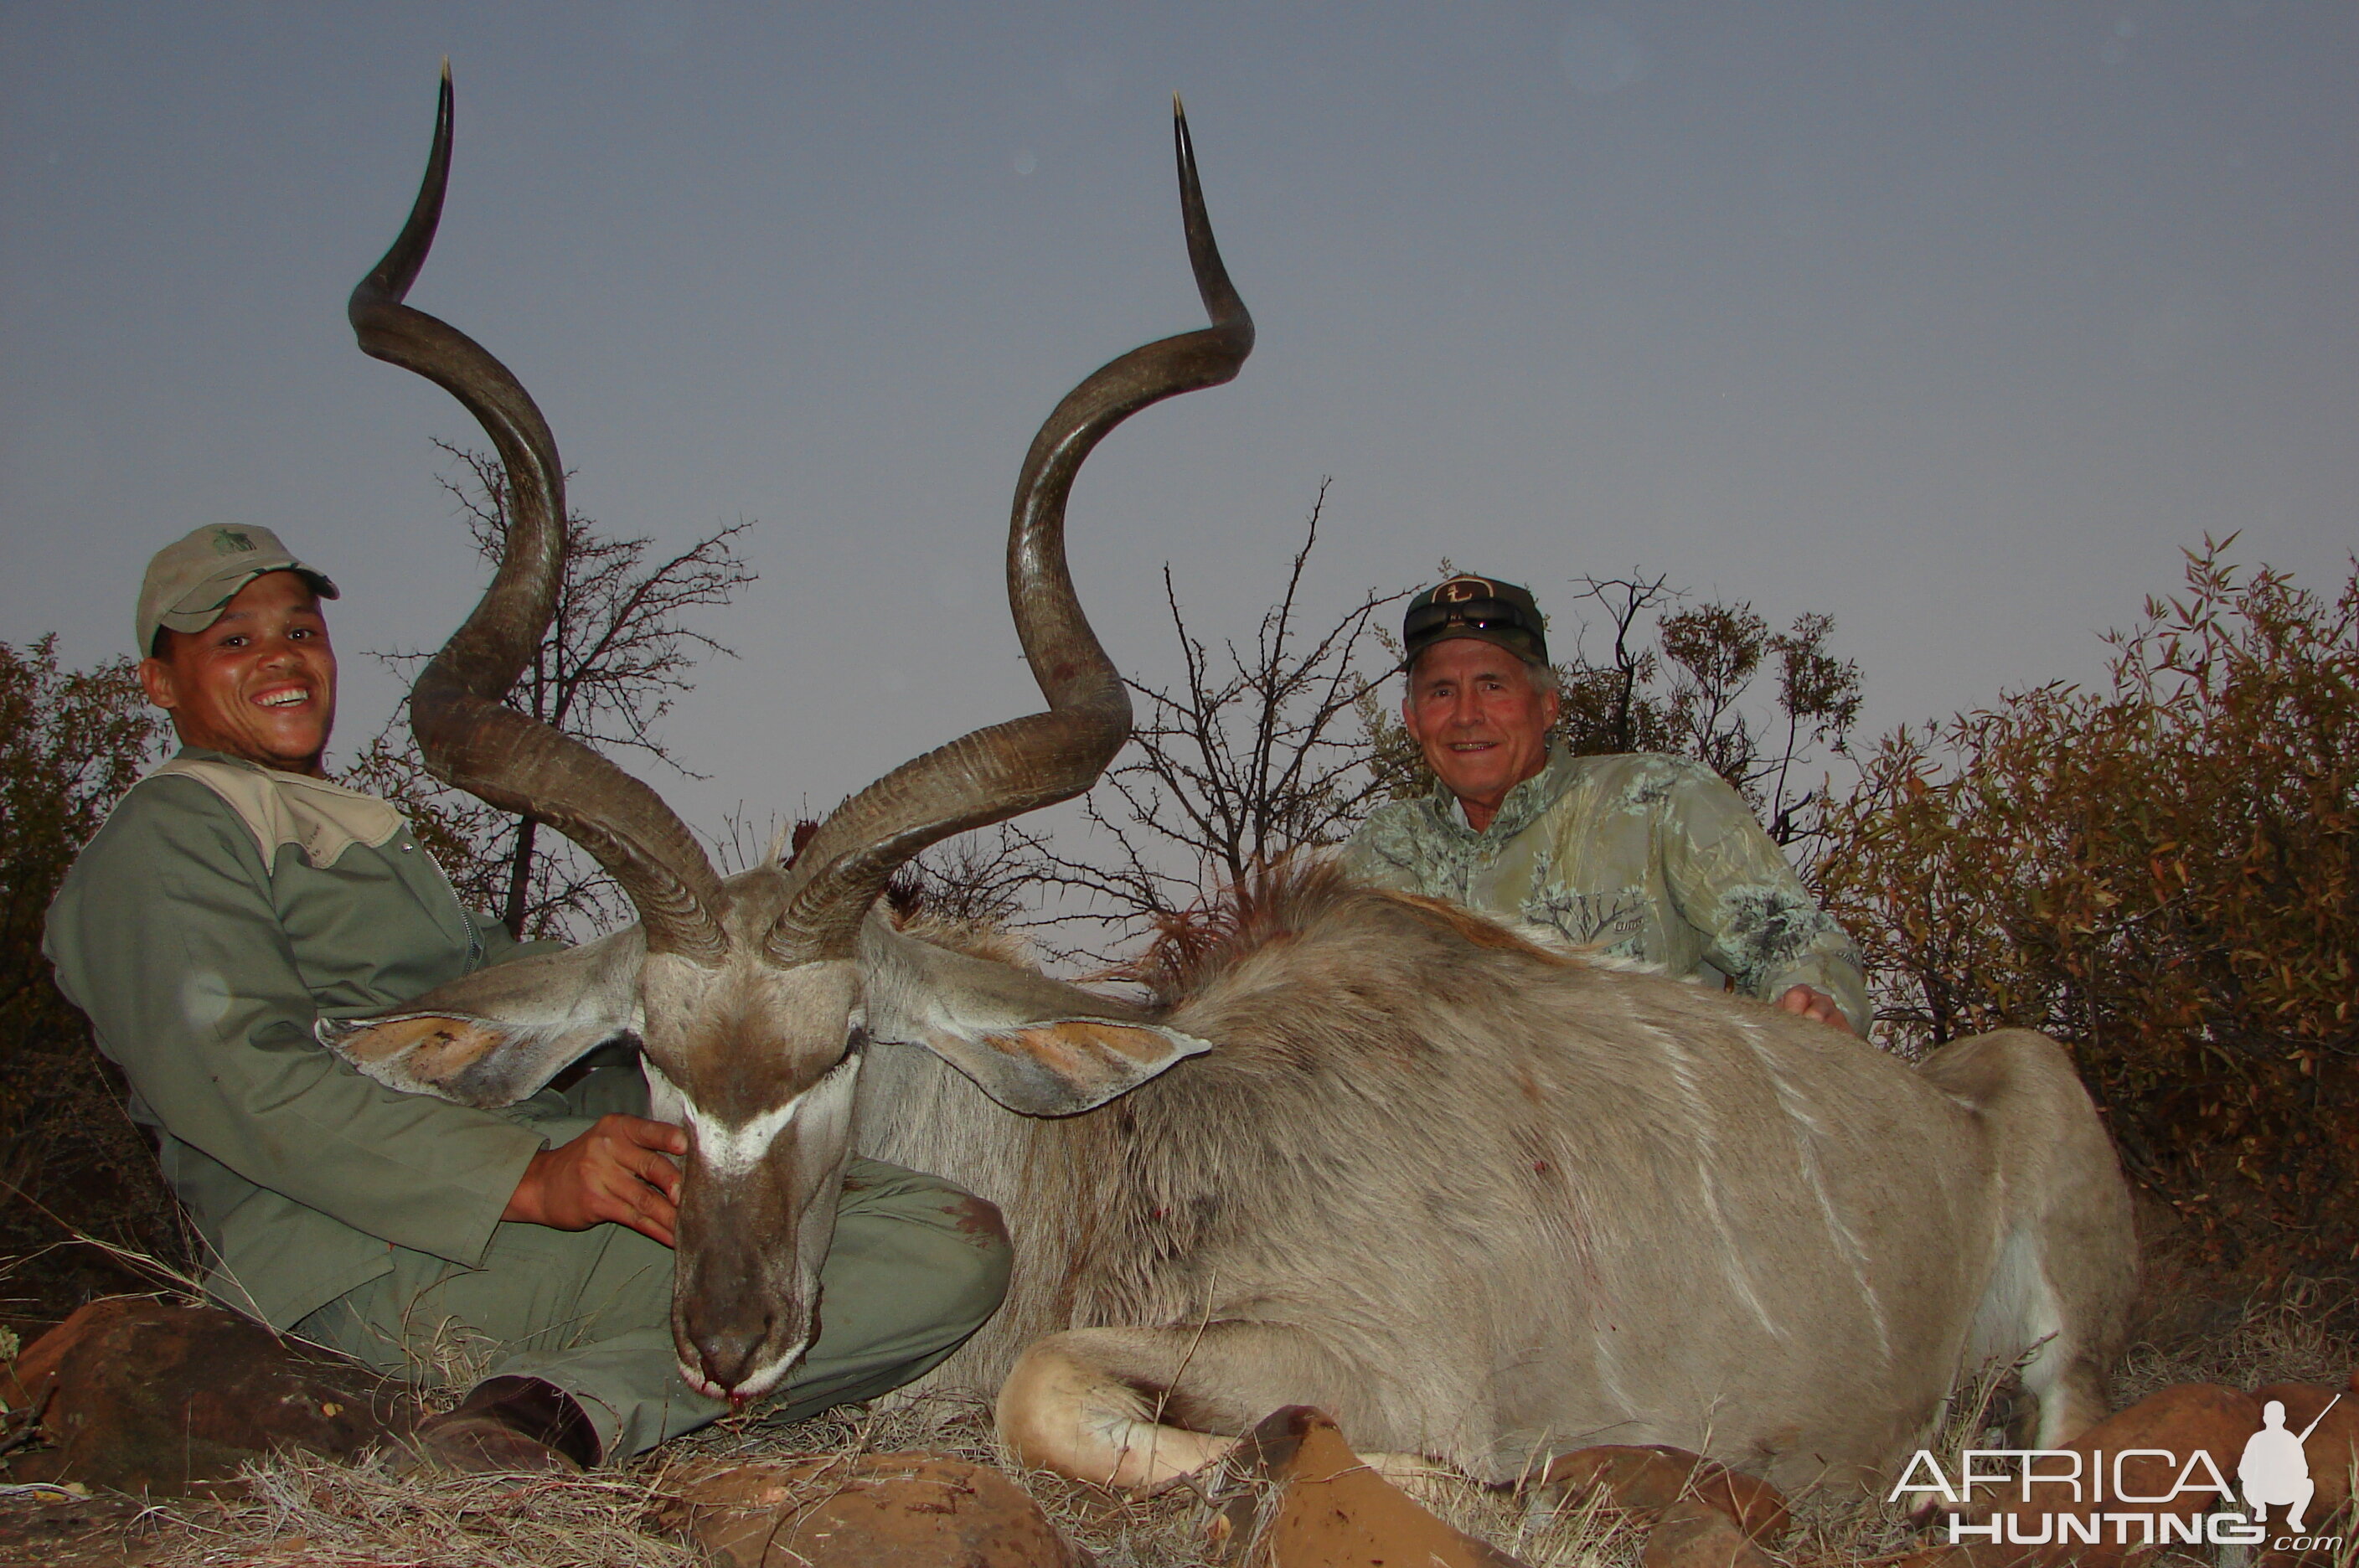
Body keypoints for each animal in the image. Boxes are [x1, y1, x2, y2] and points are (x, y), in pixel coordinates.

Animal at [333, 76, 2141, 1490]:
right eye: (643, 1046)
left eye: (846, 1041)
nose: (725, 1340)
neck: (1129, 1149)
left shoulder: (1375, 1353)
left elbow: (1061, 1389)